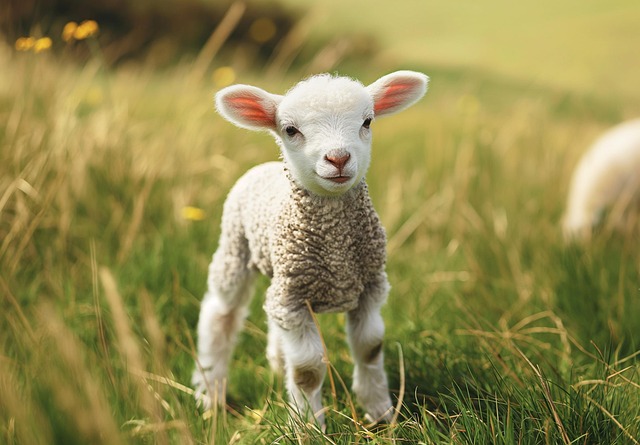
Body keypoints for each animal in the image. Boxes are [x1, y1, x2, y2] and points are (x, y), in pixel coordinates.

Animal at [191, 71, 429, 426]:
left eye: (367, 121)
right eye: (291, 129)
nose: (338, 158)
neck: (336, 247)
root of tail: (265, 166)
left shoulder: (368, 287)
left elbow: (369, 347)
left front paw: (381, 413)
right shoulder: (294, 301)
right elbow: (308, 370)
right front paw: (308, 426)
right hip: (235, 247)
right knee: (221, 315)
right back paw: (210, 395)